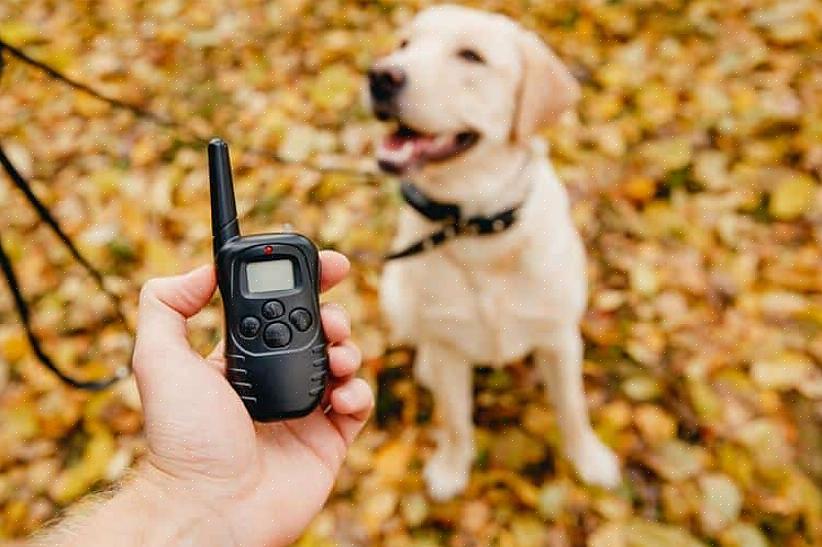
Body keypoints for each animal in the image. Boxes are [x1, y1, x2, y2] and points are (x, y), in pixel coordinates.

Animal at [370, 4, 620, 500]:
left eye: (471, 56)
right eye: (404, 44)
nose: (381, 75)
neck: (477, 230)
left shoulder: (561, 339)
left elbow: (573, 408)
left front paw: (589, 459)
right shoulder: (449, 345)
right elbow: (455, 421)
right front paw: (451, 468)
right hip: (395, 289)